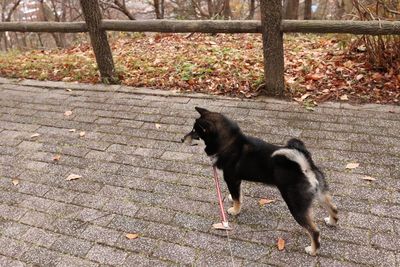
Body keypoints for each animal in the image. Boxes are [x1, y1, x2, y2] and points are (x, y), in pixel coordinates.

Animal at [184, 107, 338, 258]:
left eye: (195, 132)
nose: (181, 139)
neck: (229, 143)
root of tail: (304, 166)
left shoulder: (231, 179)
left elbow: (237, 198)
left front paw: (235, 210)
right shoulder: (237, 181)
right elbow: (237, 195)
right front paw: (232, 199)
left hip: (296, 206)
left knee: (314, 231)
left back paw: (313, 250)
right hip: (320, 193)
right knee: (333, 208)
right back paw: (331, 221)